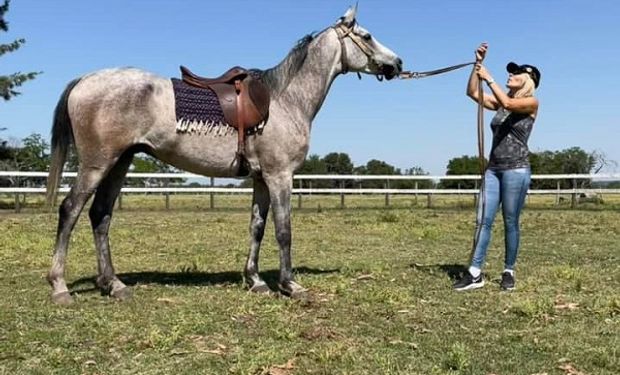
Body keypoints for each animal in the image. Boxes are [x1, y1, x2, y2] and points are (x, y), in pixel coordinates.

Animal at [44, 5, 402, 306]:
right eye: (367, 36)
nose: (398, 64)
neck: (285, 100)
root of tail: (84, 80)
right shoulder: (280, 175)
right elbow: (283, 230)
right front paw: (290, 285)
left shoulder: (261, 178)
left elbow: (257, 226)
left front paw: (255, 280)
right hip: (97, 164)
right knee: (70, 210)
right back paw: (60, 287)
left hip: (120, 162)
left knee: (100, 215)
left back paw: (114, 284)